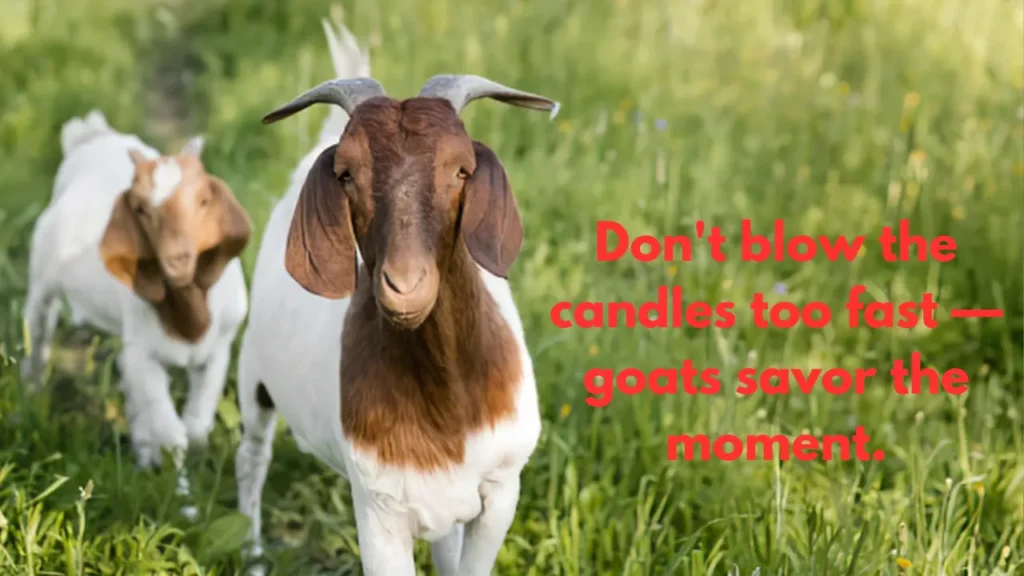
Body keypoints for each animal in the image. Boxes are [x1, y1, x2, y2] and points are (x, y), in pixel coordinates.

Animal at [22, 110, 252, 513]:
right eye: (142, 209)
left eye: (203, 199)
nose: (178, 260)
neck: (187, 321)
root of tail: (92, 136)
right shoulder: (145, 354)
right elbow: (173, 434)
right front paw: (184, 503)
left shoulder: (220, 349)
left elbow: (195, 426)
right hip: (42, 278)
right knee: (38, 329)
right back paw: (31, 396)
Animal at [233, 20, 558, 576]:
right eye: (346, 174)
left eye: (461, 170)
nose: (404, 286)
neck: (448, 408)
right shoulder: (378, 510)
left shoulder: (500, 490)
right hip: (254, 377)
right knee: (251, 458)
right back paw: (253, 555)